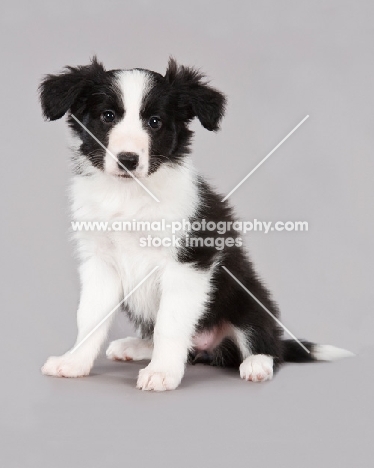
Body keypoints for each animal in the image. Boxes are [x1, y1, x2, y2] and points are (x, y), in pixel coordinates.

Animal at [39, 57, 352, 392]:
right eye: (107, 116)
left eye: (155, 122)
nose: (128, 160)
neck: (131, 194)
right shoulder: (99, 261)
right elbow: (89, 316)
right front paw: (74, 362)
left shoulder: (189, 261)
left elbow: (170, 323)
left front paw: (162, 372)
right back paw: (136, 346)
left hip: (248, 298)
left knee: (265, 342)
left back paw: (257, 363)